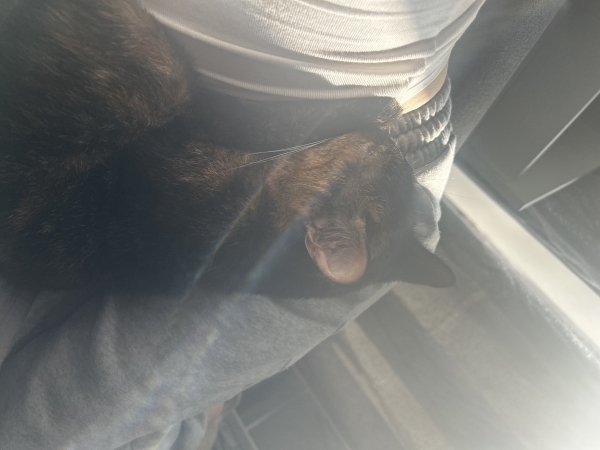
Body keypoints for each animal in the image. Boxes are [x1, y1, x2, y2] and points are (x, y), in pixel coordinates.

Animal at [0, 0, 454, 299]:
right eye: (393, 161)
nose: (391, 142)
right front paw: (383, 109)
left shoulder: (203, 120)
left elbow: (274, 118)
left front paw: (375, 107)